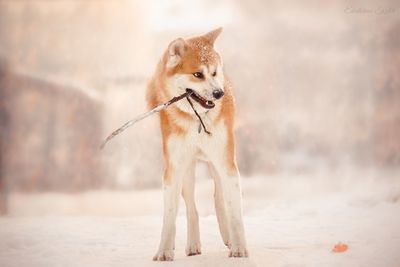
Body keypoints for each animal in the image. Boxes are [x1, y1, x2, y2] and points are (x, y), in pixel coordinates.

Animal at [147, 27, 247, 262]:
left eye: (214, 73)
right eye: (197, 74)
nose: (219, 93)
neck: (196, 120)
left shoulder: (227, 163)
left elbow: (235, 211)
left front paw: (239, 247)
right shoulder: (173, 169)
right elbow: (170, 215)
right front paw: (164, 250)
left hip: (217, 164)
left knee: (219, 199)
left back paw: (228, 237)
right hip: (187, 169)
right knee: (192, 208)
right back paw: (193, 244)